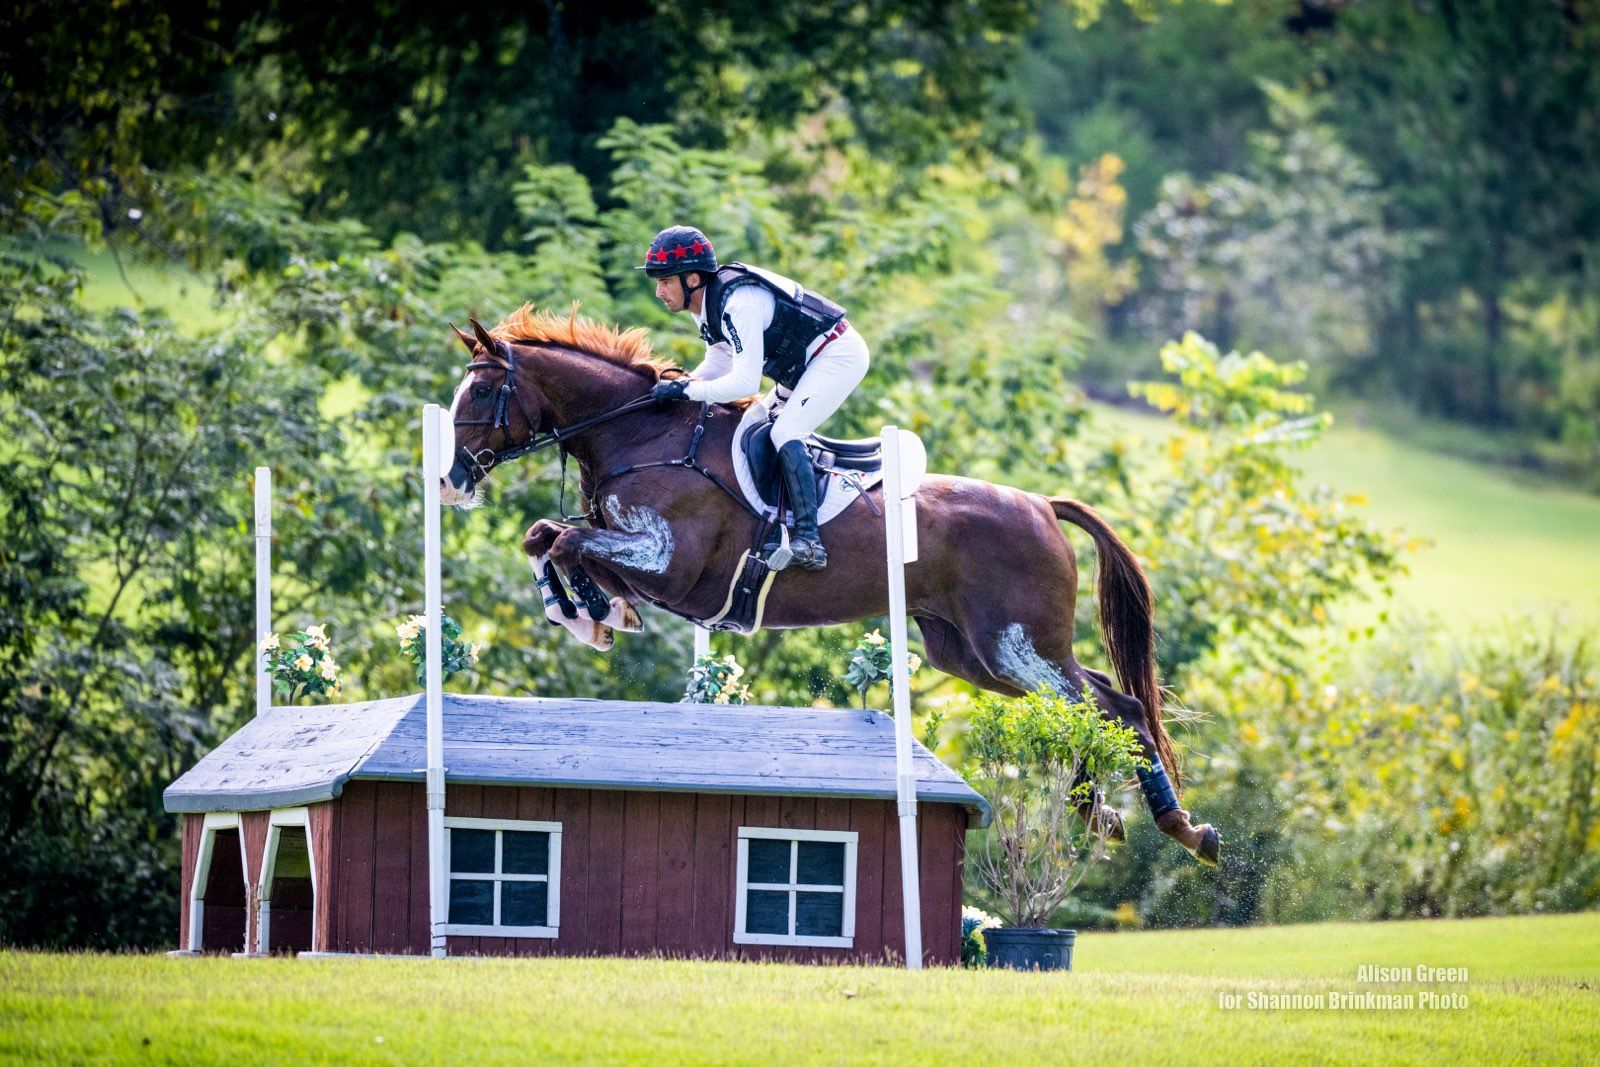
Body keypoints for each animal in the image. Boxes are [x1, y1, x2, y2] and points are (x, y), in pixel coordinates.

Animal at [441, 306, 1221, 866]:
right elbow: (546, 537)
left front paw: (594, 614)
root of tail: (1039, 504)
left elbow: (564, 540)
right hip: (976, 654)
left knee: (1111, 706)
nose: (449, 479)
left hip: (1016, 644)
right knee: (1087, 706)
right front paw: (594, 611)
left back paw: (1181, 828)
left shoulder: (671, 564)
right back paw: (1108, 814)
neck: (644, 437)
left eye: (481, 389)